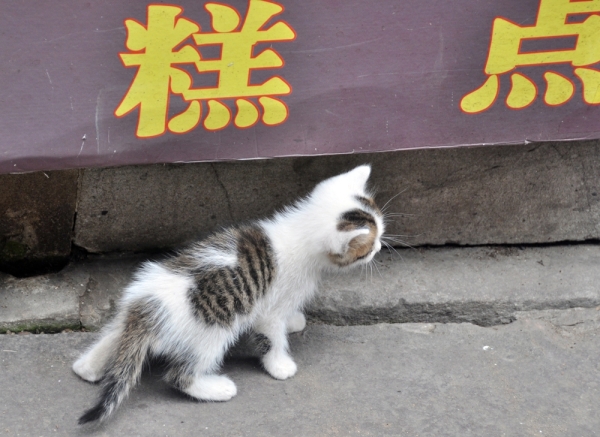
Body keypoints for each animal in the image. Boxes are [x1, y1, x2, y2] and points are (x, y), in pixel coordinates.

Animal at [73, 164, 385, 424]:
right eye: (370, 246)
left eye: (381, 232)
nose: (381, 247)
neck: (300, 234)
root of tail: (145, 309)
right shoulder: (268, 310)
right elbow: (272, 338)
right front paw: (280, 365)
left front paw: (294, 321)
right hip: (210, 333)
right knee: (179, 375)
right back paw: (215, 388)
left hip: (131, 309)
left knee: (112, 335)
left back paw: (88, 368)